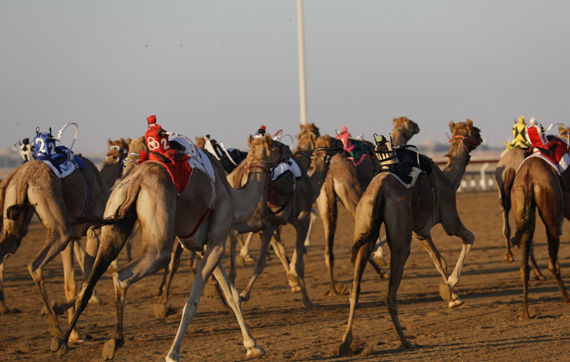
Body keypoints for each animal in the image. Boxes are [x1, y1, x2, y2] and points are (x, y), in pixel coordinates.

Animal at [50, 133, 286, 362]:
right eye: (276, 145)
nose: (287, 150)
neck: (234, 199)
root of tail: (136, 180)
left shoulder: (205, 246)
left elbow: (232, 294)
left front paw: (253, 346)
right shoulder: (218, 240)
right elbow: (192, 303)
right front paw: (173, 354)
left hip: (115, 218)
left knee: (89, 284)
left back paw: (63, 342)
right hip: (158, 240)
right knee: (124, 276)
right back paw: (114, 341)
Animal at [338, 119, 480, 356]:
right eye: (476, 130)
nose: (481, 135)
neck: (449, 179)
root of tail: (379, 192)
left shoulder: (420, 232)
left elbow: (440, 261)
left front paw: (452, 297)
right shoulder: (449, 218)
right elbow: (469, 237)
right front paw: (451, 288)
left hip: (364, 224)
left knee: (355, 288)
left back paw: (346, 342)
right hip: (401, 236)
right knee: (390, 293)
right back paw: (406, 342)